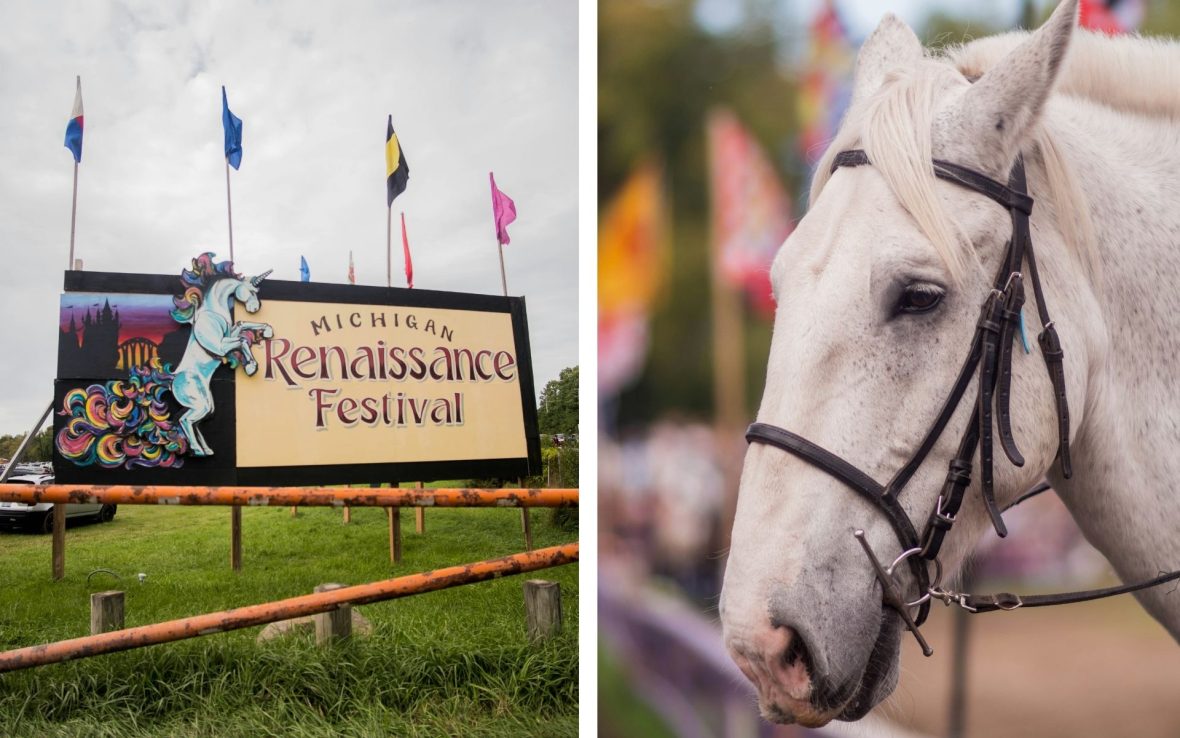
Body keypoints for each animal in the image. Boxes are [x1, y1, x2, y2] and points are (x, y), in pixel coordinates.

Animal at [170, 254, 273, 457]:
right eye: (252, 290)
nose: (256, 308)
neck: (212, 311)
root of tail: (171, 381)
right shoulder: (220, 347)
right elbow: (241, 341)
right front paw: (251, 367)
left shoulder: (230, 334)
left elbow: (242, 325)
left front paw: (267, 331)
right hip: (199, 404)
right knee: (185, 420)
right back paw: (197, 450)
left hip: (208, 406)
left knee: (195, 422)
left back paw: (206, 449)